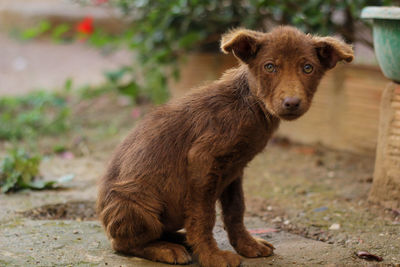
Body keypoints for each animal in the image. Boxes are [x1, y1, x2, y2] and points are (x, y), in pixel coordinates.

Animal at [97, 25, 354, 267]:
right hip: (139, 205)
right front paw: (212, 256)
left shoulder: (234, 170)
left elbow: (235, 210)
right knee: (125, 244)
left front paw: (247, 245)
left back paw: (180, 239)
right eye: (270, 67)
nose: (292, 103)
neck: (250, 105)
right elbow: (203, 216)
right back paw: (165, 248)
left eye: (308, 68)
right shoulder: (203, 162)